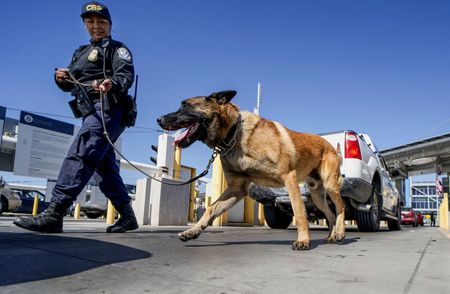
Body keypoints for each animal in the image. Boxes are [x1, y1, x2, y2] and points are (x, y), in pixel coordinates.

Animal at [156, 90, 346, 250]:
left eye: (185, 105)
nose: (158, 119)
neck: (234, 133)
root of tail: (331, 146)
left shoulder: (289, 178)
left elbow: (299, 213)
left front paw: (303, 241)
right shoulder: (236, 188)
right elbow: (211, 208)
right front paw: (192, 231)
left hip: (330, 186)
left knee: (340, 207)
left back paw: (340, 234)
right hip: (317, 194)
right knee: (330, 214)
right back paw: (331, 237)